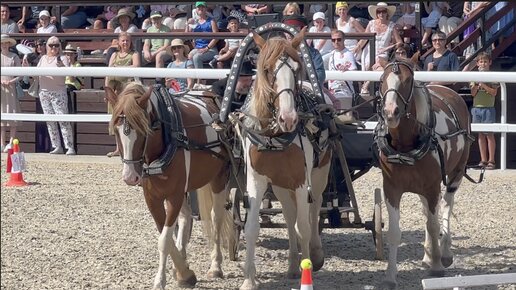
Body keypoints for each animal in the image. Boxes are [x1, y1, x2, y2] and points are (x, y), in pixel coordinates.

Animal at [105, 82, 234, 288]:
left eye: (144, 131)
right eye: (116, 131)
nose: (130, 177)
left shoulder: (174, 195)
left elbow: (164, 240)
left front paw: (162, 280)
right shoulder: (153, 199)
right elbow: (166, 235)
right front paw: (183, 271)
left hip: (219, 177)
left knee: (216, 216)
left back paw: (216, 265)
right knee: (186, 216)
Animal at [236, 30, 332, 290]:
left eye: (297, 68)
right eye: (267, 69)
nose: (288, 118)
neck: (275, 137)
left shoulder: (301, 181)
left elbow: (304, 227)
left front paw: (307, 270)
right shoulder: (256, 181)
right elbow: (252, 228)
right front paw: (249, 279)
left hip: (319, 174)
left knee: (315, 208)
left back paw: (315, 254)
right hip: (280, 185)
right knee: (289, 217)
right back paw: (291, 266)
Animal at [376, 56, 474, 288]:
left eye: (408, 80)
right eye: (383, 79)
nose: (390, 112)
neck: (405, 145)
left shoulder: (431, 187)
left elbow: (433, 224)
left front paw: (437, 266)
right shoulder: (391, 189)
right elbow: (395, 232)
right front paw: (390, 276)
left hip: (455, 174)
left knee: (446, 206)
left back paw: (444, 253)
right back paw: (429, 254)